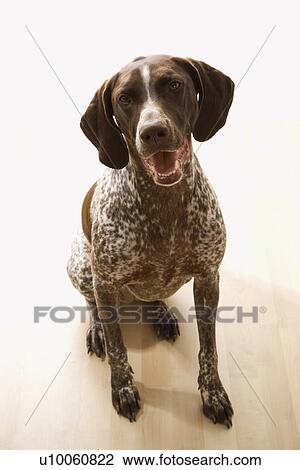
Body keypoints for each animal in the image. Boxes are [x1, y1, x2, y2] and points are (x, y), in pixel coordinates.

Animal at [67, 54, 234, 426]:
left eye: (173, 84)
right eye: (124, 98)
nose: (153, 131)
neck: (163, 204)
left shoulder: (208, 278)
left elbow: (210, 349)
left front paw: (213, 393)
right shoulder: (104, 280)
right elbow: (118, 348)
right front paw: (123, 389)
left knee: (153, 295)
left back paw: (160, 313)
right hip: (81, 268)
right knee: (93, 304)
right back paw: (98, 328)